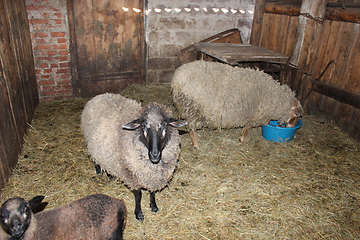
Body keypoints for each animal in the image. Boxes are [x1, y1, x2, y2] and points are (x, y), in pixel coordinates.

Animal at [172, 60, 304, 148]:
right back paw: (196, 145)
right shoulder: (254, 114)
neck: (276, 97)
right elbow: (247, 127)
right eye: (296, 114)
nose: (293, 127)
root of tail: (176, 80)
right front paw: (243, 140)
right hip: (192, 108)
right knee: (191, 128)